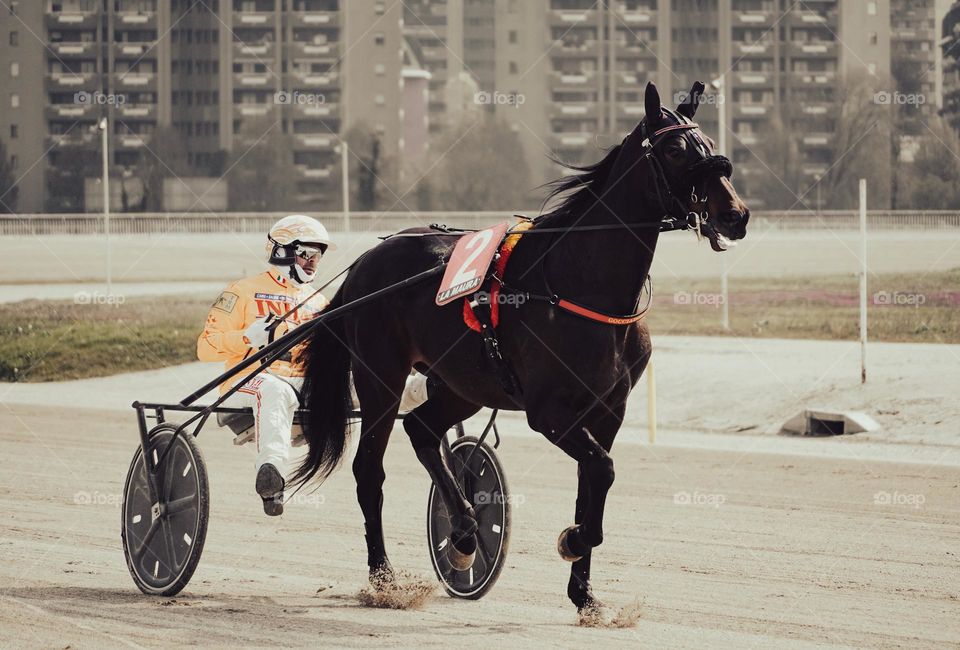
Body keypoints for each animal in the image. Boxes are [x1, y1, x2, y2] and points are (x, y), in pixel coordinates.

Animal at [290, 81, 750, 614]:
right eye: (676, 149)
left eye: (709, 143)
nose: (736, 215)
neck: (579, 282)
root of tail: (366, 260)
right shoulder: (548, 411)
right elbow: (602, 470)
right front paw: (573, 540)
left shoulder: (608, 411)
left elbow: (592, 482)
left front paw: (584, 594)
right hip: (380, 377)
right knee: (369, 470)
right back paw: (385, 578)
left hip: (462, 384)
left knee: (423, 429)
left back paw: (465, 532)